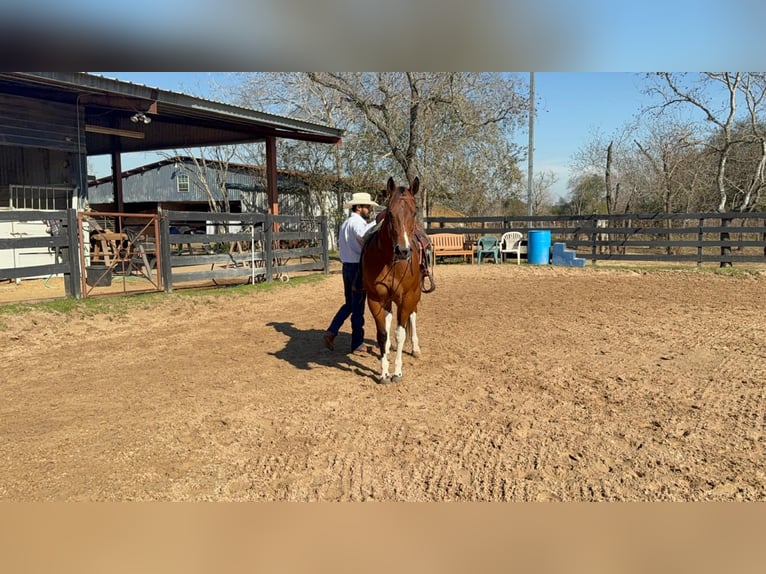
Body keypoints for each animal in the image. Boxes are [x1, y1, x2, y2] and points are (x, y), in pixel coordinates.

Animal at [361, 176, 423, 384]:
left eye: (414, 212)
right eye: (390, 212)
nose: (403, 251)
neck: (390, 263)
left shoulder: (406, 298)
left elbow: (400, 333)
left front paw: (397, 372)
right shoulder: (375, 299)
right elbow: (383, 334)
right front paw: (384, 373)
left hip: (415, 295)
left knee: (412, 316)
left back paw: (415, 349)